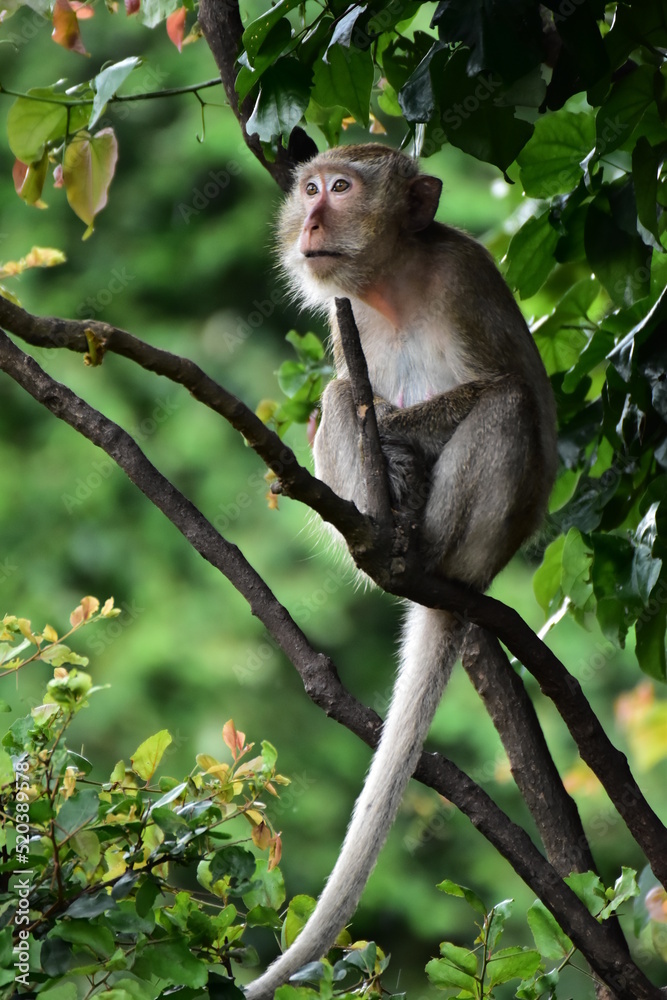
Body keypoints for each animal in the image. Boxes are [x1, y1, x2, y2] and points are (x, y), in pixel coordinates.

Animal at [244, 143, 558, 999]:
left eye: (341, 188)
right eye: (309, 189)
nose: (312, 221)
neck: (391, 283)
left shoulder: (463, 277)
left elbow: (505, 389)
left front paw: (401, 438)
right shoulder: (340, 314)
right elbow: (349, 394)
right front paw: (381, 442)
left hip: (482, 541)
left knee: (503, 409)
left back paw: (419, 542)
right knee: (338, 394)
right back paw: (382, 538)